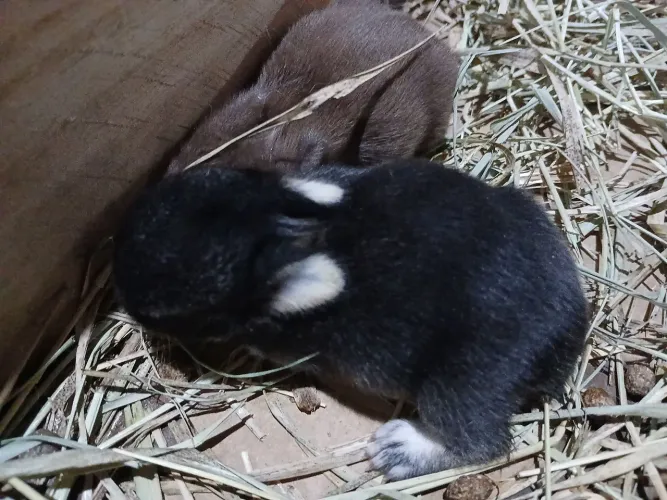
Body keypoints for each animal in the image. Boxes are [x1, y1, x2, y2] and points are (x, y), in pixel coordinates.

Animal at [113, 159, 588, 480]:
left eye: (170, 312)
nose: (120, 292)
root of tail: (564, 341)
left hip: (459, 381)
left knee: (480, 440)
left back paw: (397, 450)